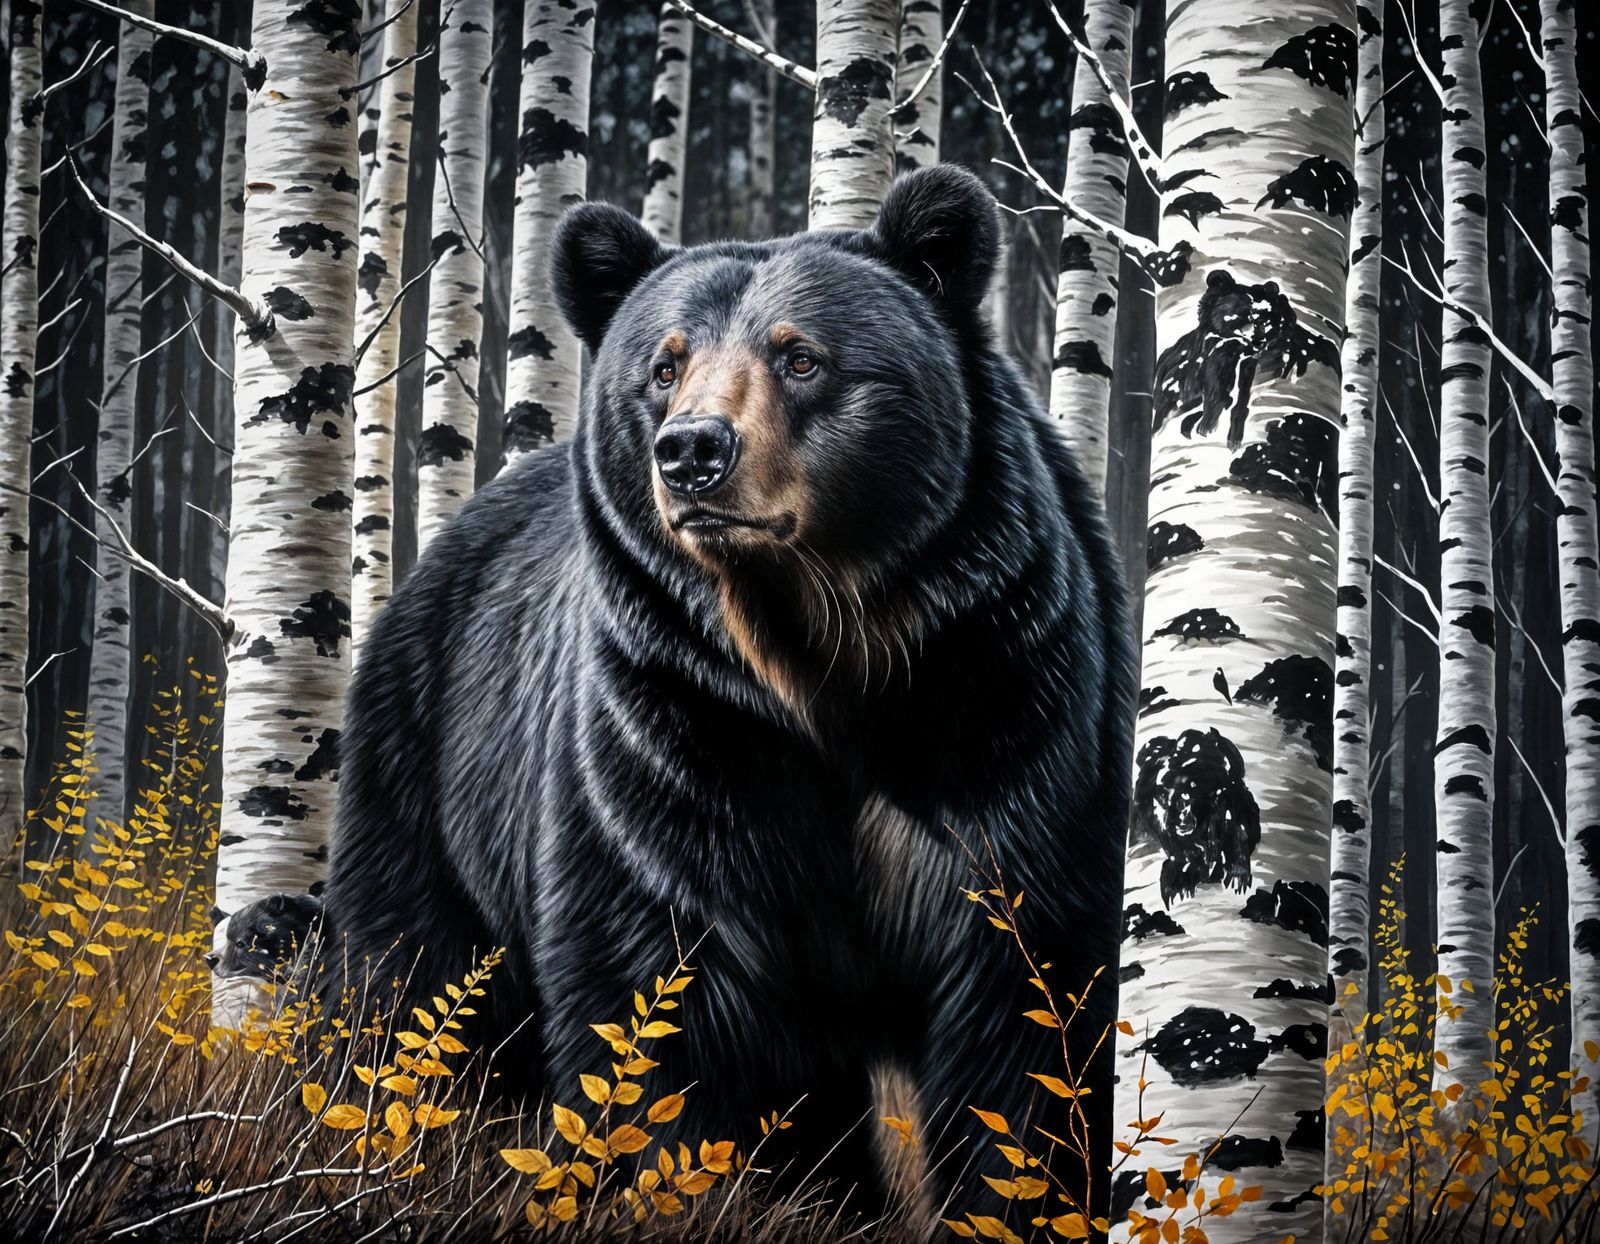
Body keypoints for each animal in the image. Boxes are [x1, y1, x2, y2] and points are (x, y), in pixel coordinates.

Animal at [322, 165, 1135, 1215]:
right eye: (663, 367)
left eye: (801, 357)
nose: (693, 450)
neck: (817, 656)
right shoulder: (670, 739)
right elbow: (662, 1000)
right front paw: (688, 1184)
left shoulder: (1006, 710)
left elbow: (1025, 1003)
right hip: (427, 775)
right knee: (411, 986)